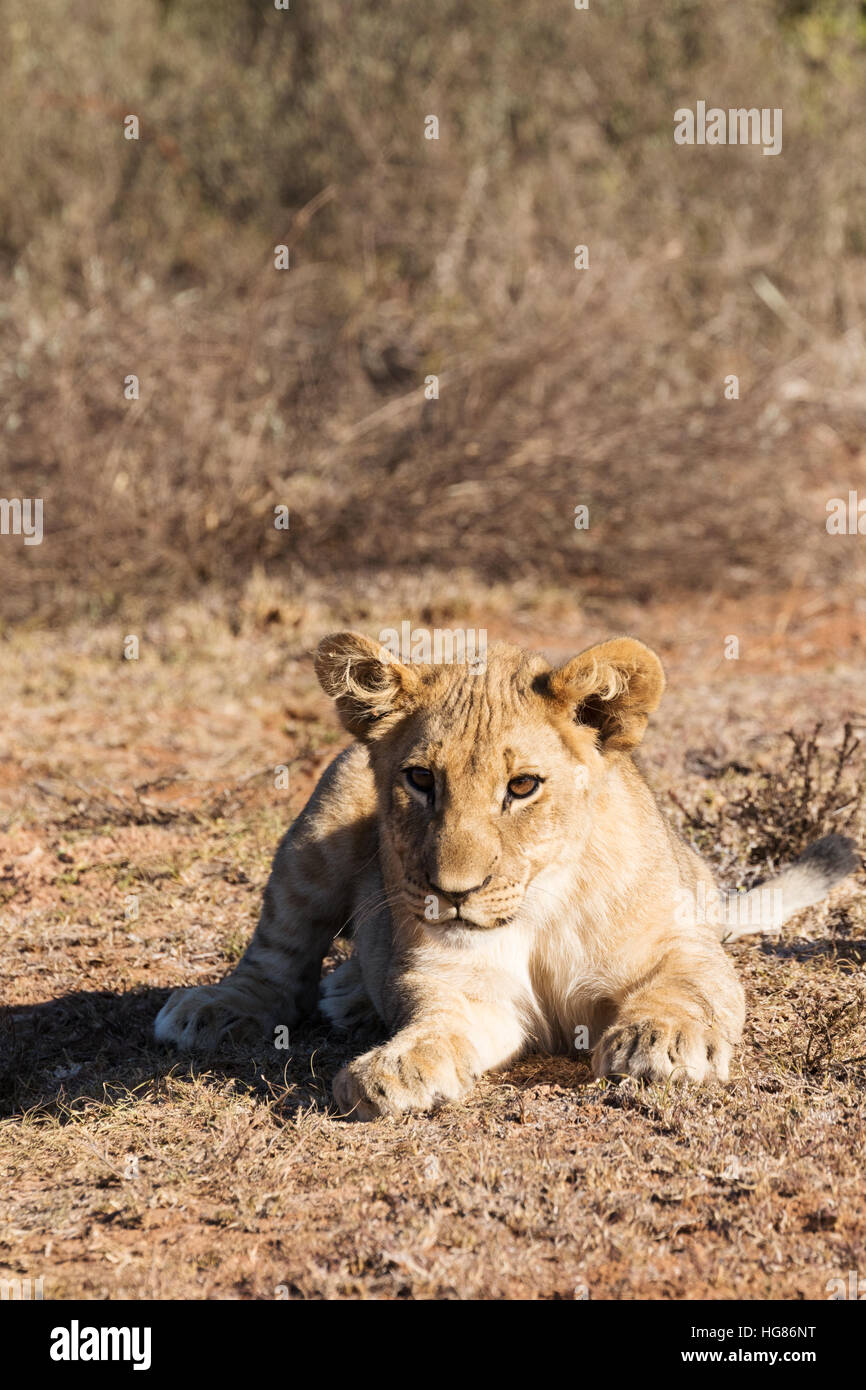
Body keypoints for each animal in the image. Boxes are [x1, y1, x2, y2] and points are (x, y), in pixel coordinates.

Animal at [154, 632, 857, 1119]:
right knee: (280, 962)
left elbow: (685, 988)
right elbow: (439, 1024)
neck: (540, 910)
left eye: (522, 787)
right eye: (420, 779)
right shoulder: (468, 990)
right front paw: (397, 1067)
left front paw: (659, 1042)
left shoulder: (682, 943)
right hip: (319, 822)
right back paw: (218, 1007)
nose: (452, 894)